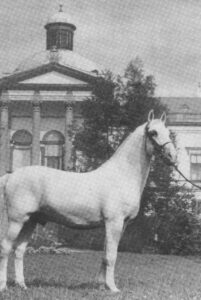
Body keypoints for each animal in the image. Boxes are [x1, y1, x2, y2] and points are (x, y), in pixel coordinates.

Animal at [0, 109, 176, 292]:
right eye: (153, 132)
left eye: (168, 131)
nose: (172, 156)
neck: (121, 175)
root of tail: (11, 176)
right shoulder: (114, 222)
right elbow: (111, 256)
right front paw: (112, 288)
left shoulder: (120, 224)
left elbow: (106, 255)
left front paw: (101, 285)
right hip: (17, 220)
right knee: (6, 247)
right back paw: (4, 286)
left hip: (31, 221)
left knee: (19, 250)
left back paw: (22, 285)